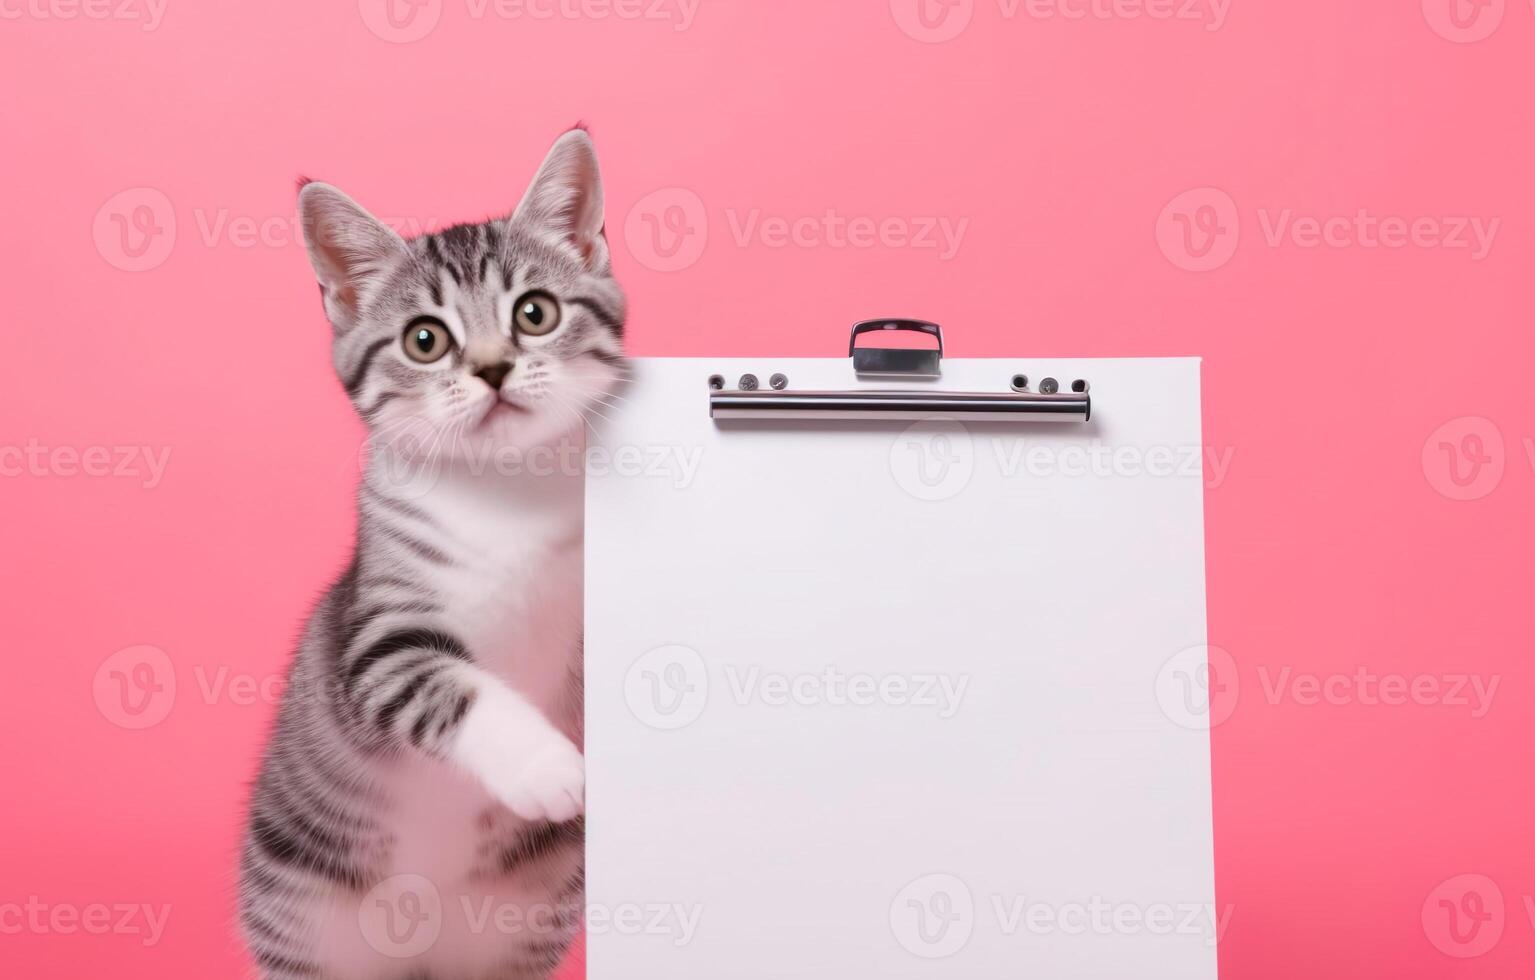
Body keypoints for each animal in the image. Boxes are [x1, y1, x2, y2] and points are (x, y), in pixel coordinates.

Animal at [239, 132, 623, 980]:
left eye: (534, 313)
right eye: (426, 339)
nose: (492, 367)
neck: (506, 494)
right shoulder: (378, 635)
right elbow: (448, 683)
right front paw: (548, 768)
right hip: (302, 912)